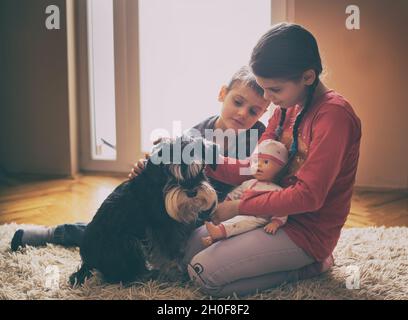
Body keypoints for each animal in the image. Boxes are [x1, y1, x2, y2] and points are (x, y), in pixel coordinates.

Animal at [69, 135, 220, 284]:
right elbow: (170, 255)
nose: (192, 192)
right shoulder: (163, 227)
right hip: (129, 242)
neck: (160, 184)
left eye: (200, 169)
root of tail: (89, 261)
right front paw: (176, 275)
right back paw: (151, 276)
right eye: (171, 173)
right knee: (123, 276)